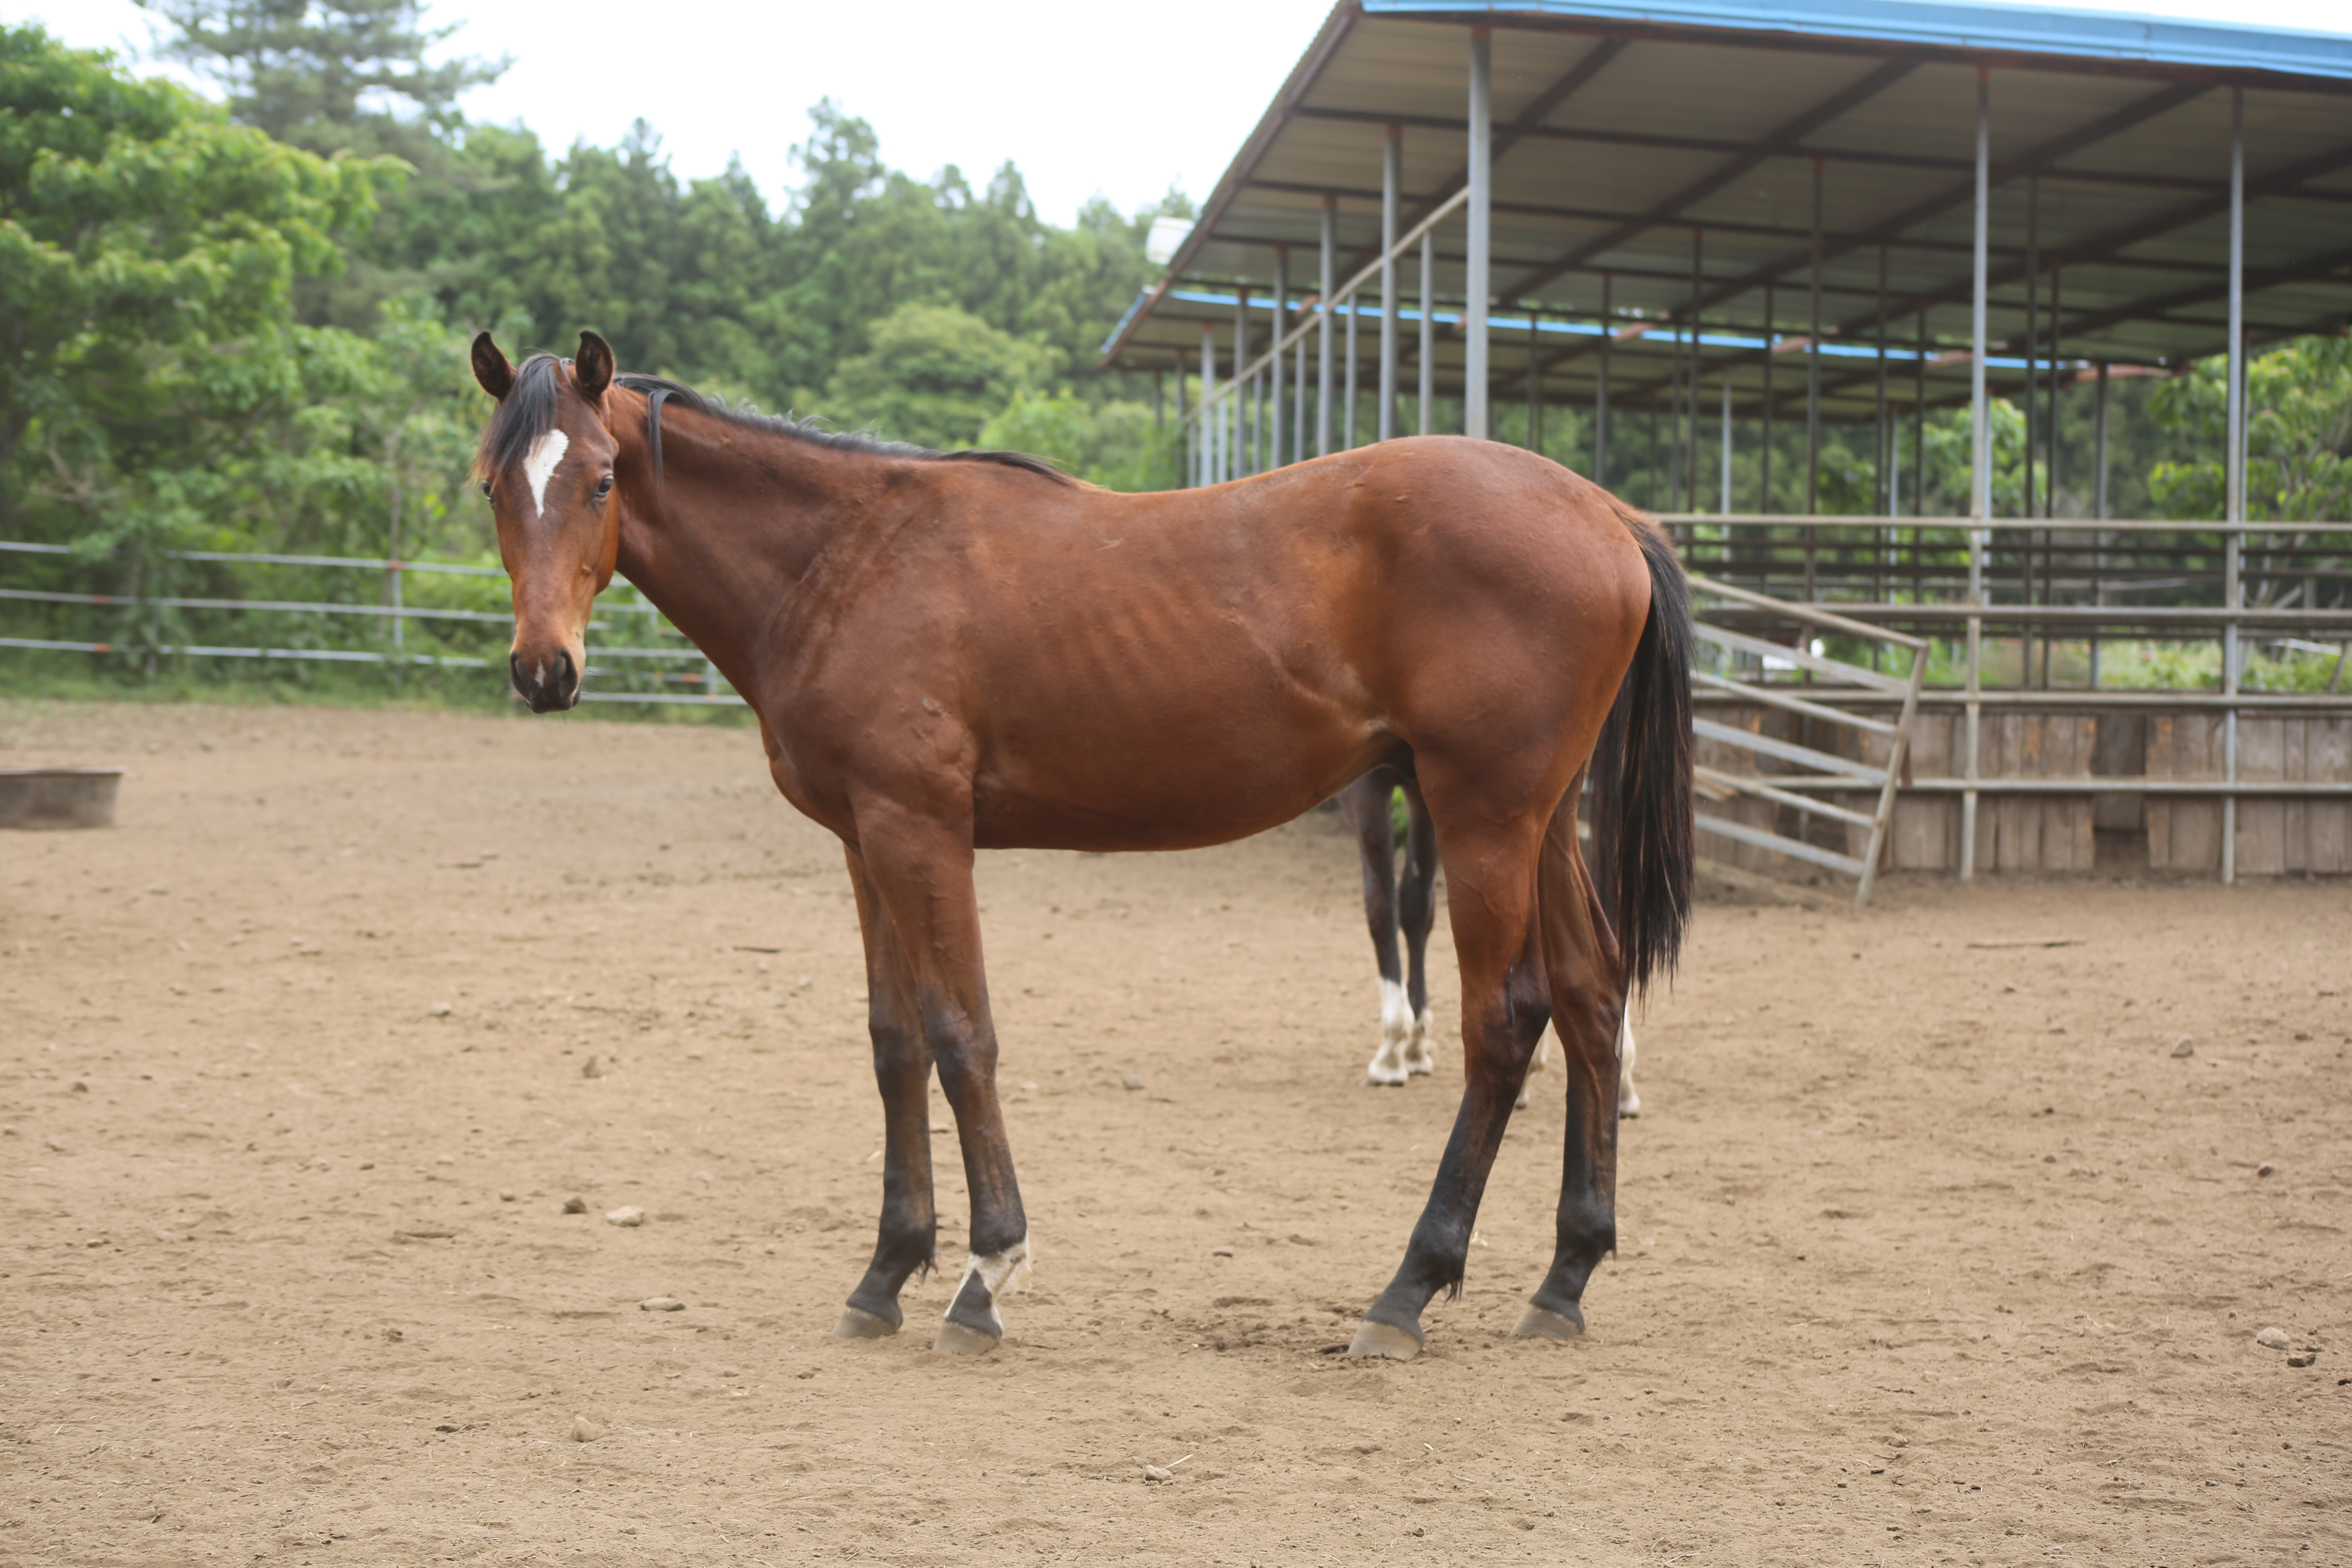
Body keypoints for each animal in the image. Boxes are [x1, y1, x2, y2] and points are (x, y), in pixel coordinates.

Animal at [1336, 766, 1646, 1109]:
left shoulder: (1368, 787)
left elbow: (1381, 904)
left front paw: (1393, 1048)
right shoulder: (1421, 793)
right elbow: (1416, 907)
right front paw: (1416, 1040)